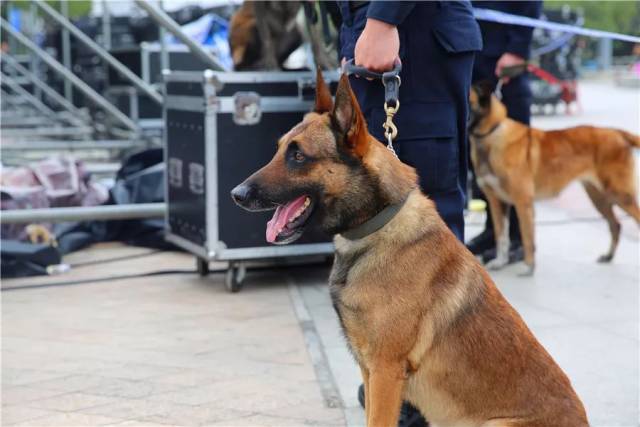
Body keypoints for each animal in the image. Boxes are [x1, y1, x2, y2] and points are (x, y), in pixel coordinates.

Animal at [232, 72, 588, 427]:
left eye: (298, 156)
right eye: (280, 150)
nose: (236, 194)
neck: (376, 227)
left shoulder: (385, 371)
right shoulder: (370, 370)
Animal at [468, 83, 636, 278]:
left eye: (468, 100)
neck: (492, 134)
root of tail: (617, 132)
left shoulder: (523, 202)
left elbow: (527, 237)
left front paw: (529, 267)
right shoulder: (497, 203)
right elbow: (502, 237)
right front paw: (500, 262)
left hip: (620, 194)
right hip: (598, 198)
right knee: (615, 225)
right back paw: (608, 256)